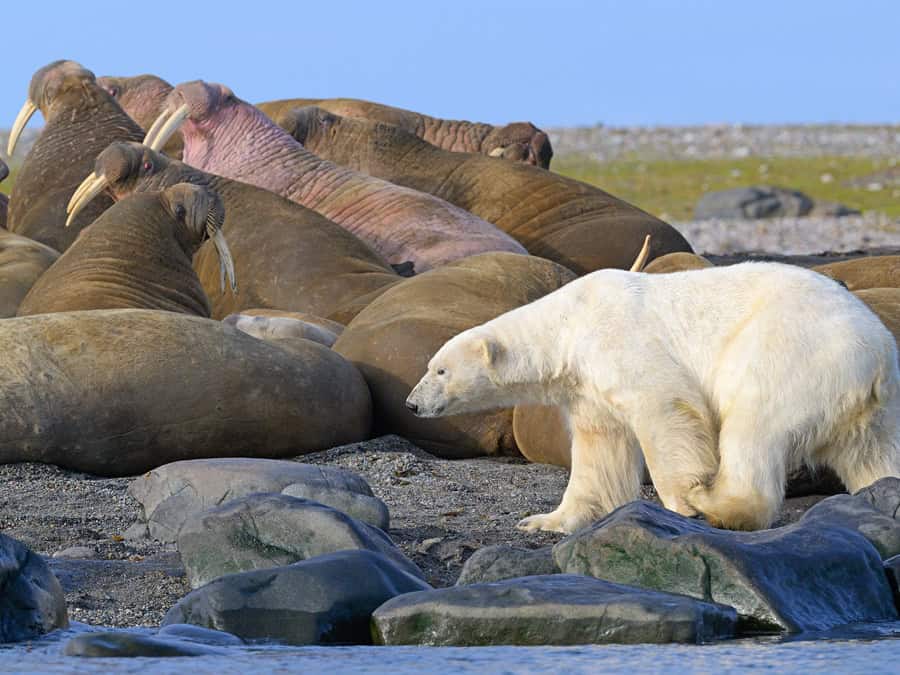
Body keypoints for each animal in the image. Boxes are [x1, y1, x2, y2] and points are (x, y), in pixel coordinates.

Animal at [405, 261, 900, 533]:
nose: (411, 403)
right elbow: (598, 450)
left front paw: (682, 503)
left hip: (791, 352)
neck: (568, 323)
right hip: (871, 409)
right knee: (874, 456)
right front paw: (543, 521)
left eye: (439, 370)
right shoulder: (586, 388)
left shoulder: (618, 340)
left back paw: (716, 505)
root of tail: (874, 358)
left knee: (752, 426)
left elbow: (666, 409)